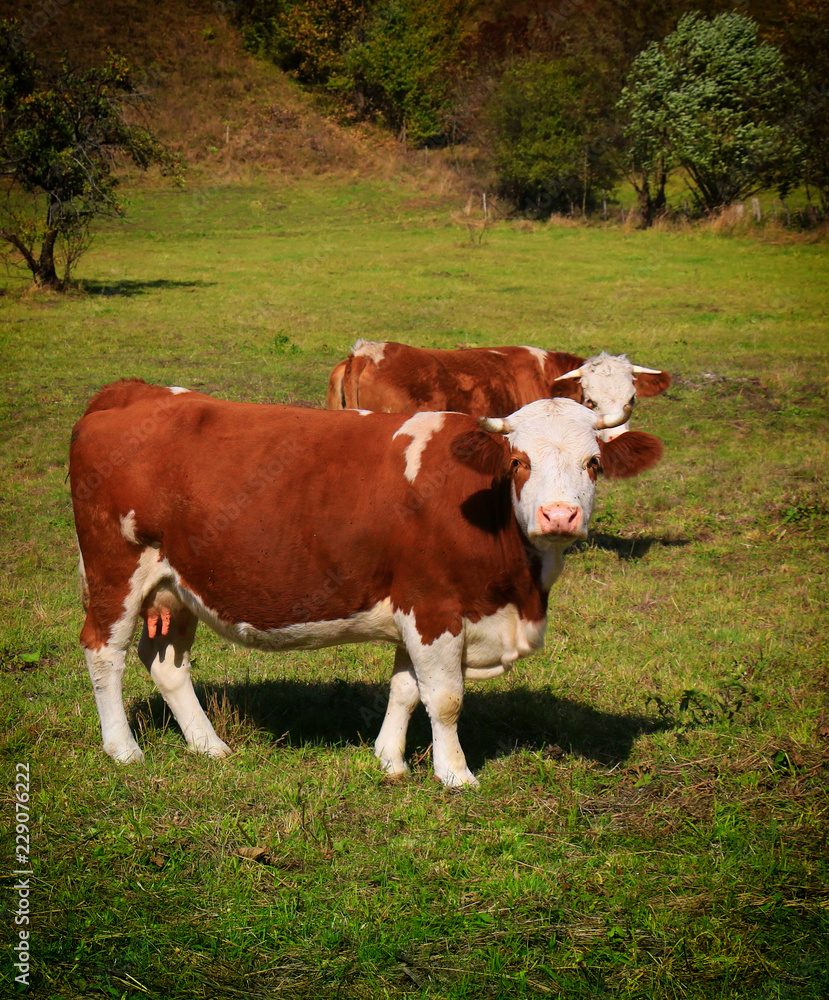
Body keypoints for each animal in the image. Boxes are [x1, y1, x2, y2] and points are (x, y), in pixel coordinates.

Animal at [70, 378, 663, 787]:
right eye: (519, 461)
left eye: (593, 464)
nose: (559, 515)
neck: (519, 594)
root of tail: (133, 392)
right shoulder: (434, 606)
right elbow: (445, 698)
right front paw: (455, 775)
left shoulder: (413, 609)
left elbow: (405, 688)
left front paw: (390, 760)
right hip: (115, 572)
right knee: (104, 653)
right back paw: (122, 749)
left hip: (178, 587)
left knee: (166, 664)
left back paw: (207, 745)